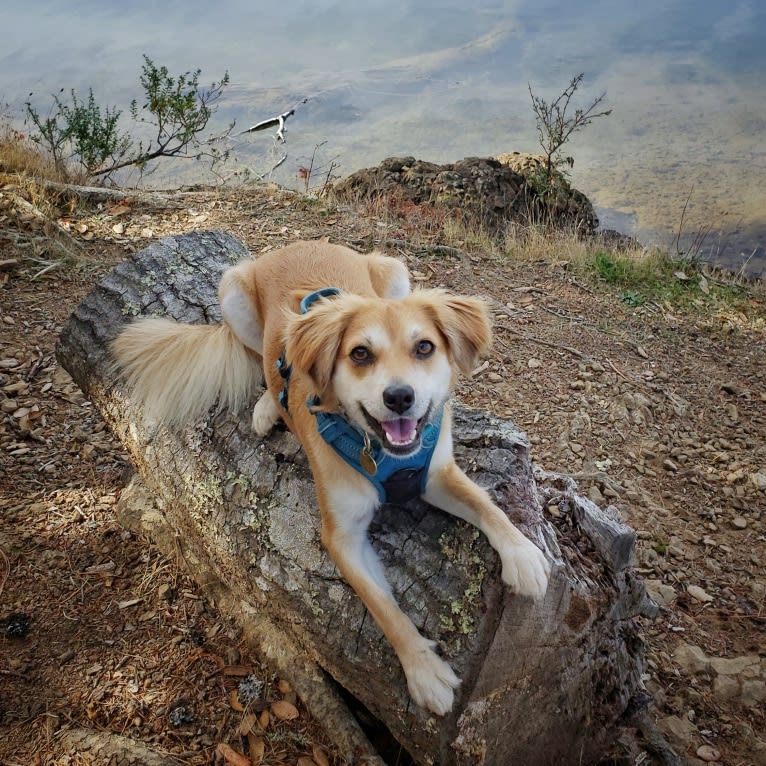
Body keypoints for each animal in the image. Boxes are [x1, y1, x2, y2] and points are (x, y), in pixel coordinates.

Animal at [111, 242, 548, 720]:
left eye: (425, 347)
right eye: (360, 354)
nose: (400, 397)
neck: (377, 449)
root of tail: (297, 244)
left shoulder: (436, 473)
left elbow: (487, 505)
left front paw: (523, 554)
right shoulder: (342, 536)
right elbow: (384, 609)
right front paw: (422, 670)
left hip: (393, 269)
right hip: (232, 292)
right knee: (258, 361)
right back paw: (268, 405)